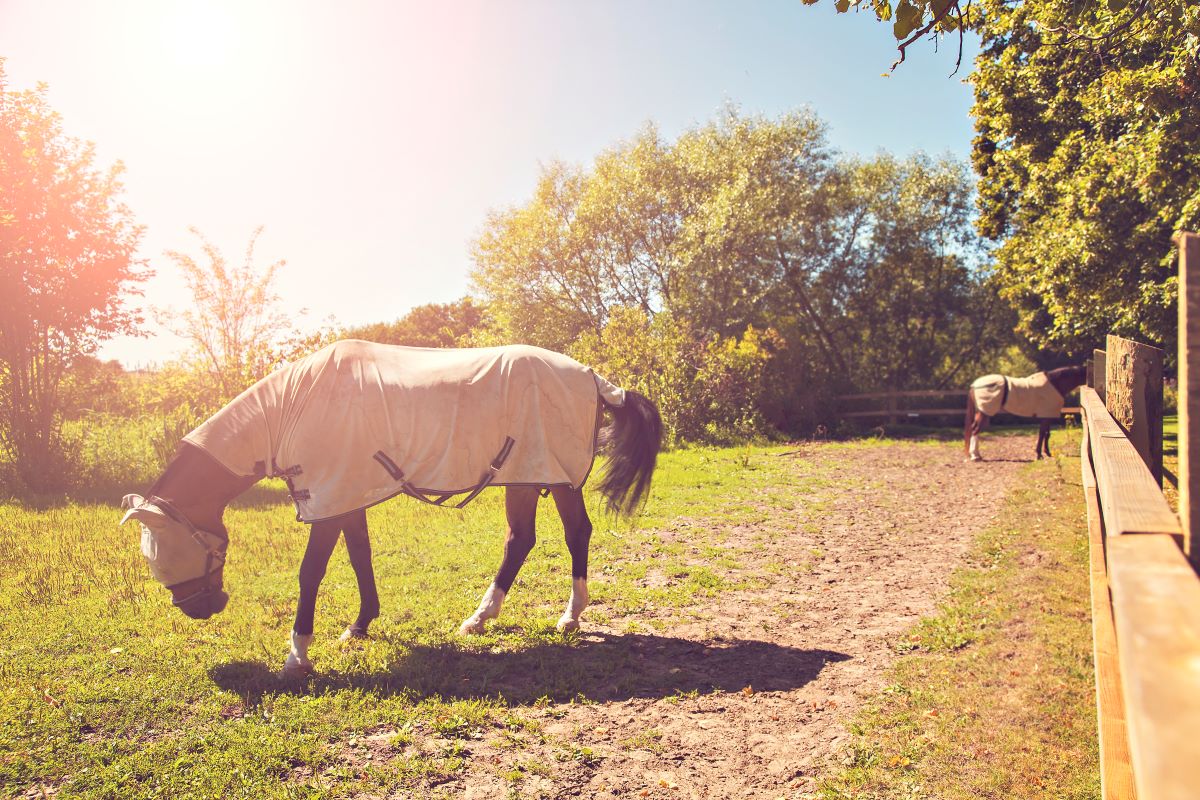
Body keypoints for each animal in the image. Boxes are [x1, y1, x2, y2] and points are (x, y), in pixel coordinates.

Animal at [120, 340, 662, 674]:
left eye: (166, 550)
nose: (201, 609)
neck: (292, 408)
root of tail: (594, 378)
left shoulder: (328, 501)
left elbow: (311, 573)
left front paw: (297, 656)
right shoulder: (346, 497)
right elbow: (360, 557)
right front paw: (359, 626)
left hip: (556, 479)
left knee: (575, 534)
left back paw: (569, 617)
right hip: (524, 478)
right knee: (520, 540)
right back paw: (480, 618)